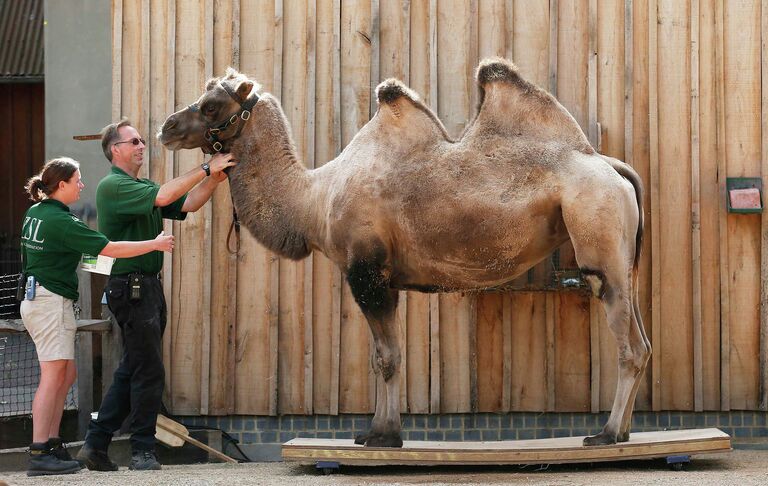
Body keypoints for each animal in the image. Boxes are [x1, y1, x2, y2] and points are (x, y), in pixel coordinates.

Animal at [159, 58, 652, 448]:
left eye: (211, 105)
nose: (166, 127)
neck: (314, 200)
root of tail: (613, 166)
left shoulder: (366, 271)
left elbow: (387, 358)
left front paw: (385, 436)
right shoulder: (382, 278)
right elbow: (384, 358)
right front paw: (372, 432)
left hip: (598, 235)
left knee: (628, 344)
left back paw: (606, 434)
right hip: (625, 262)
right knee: (643, 340)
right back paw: (624, 432)